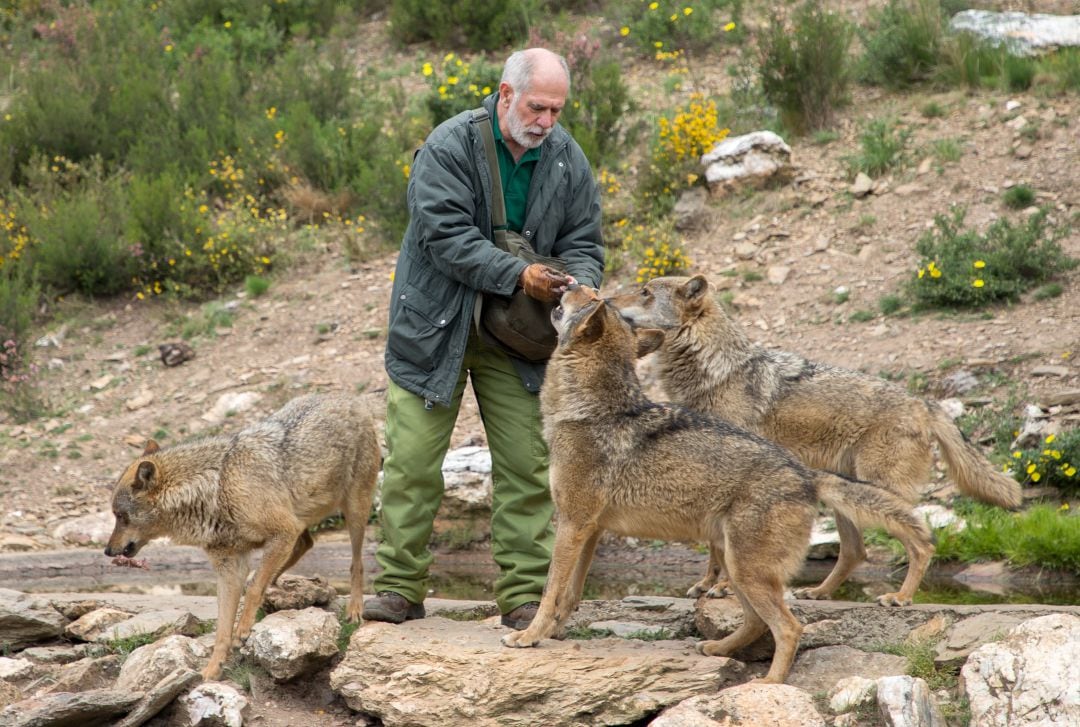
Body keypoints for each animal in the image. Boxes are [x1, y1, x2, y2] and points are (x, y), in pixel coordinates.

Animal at [501, 283, 933, 682]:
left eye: (590, 298)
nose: (572, 283)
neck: (588, 410)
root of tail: (804, 472)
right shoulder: (589, 530)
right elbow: (569, 594)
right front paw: (551, 633)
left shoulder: (572, 525)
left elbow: (550, 590)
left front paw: (529, 636)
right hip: (734, 564)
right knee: (757, 622)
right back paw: (717, 649)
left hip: (746, 570)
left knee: (789, 627)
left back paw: (769, 685)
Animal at [609, 275, 1019, 604]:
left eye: (644, 292)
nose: (609, 300)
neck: (713, 371)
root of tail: (923, 402)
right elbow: (712, 546)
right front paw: (707, 583)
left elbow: (721, 547)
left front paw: (723, 588)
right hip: (846, 495)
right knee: (855, 552)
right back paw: (819, 591)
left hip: (877, 491)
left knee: (917, 540)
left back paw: (900, 597)